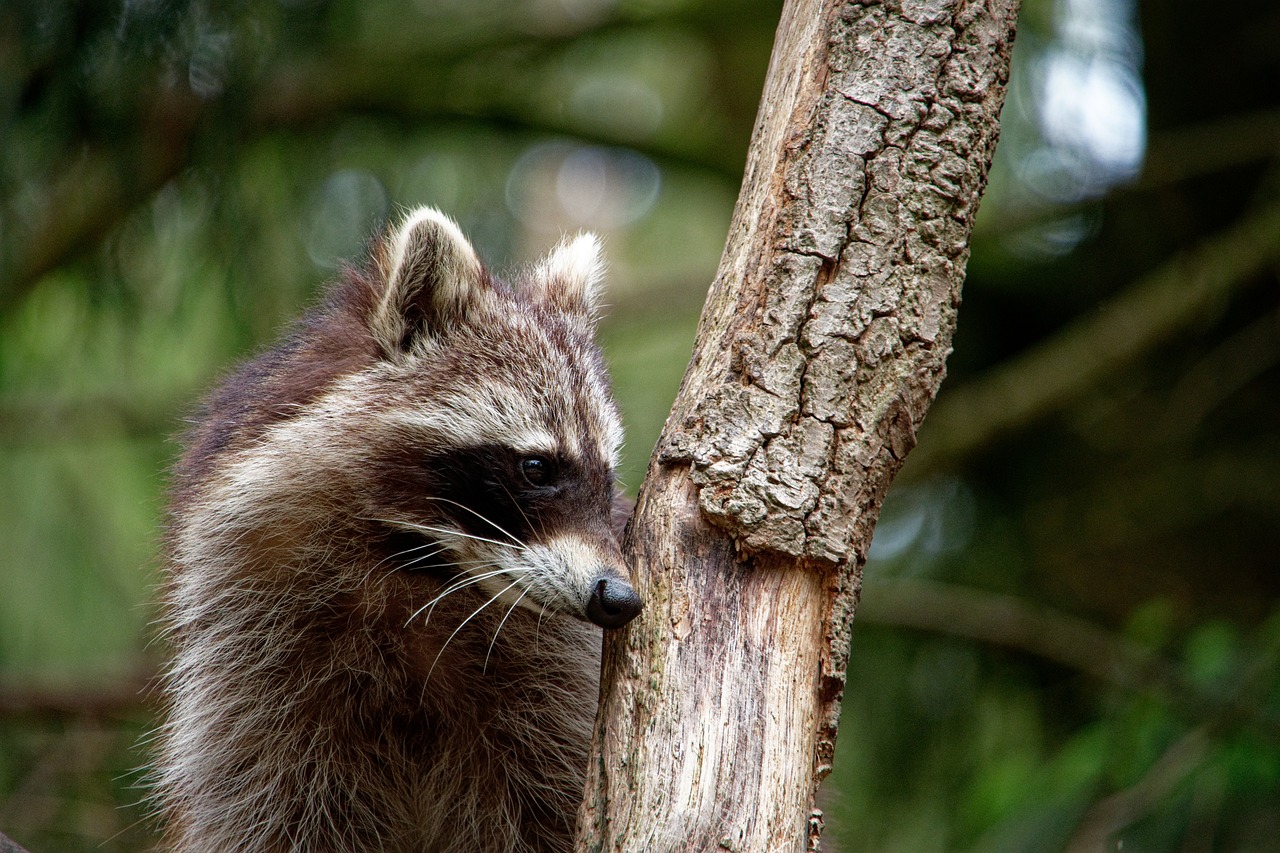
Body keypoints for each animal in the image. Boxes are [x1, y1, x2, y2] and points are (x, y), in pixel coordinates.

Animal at [153, 207, 640, 850]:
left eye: (607, 480)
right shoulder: (253, 665)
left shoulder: (554, 683)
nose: (621, 597)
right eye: (536, 468)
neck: (419, 569)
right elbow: (268, 808)